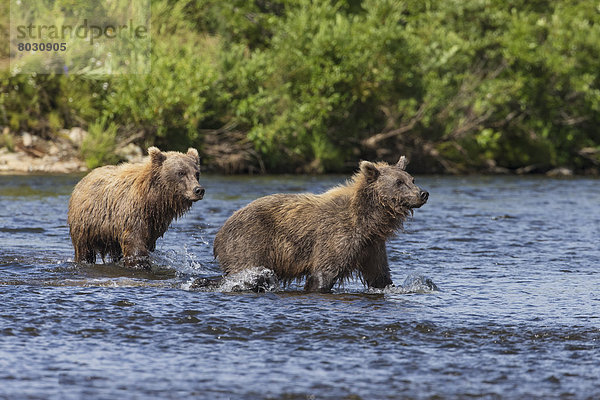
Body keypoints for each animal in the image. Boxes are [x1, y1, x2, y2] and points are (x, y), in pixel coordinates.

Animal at [67, 145, 204, 268]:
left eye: (197, 173)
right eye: (181, 172)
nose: (198, 190)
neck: (154, 200)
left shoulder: (154, 224)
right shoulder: (132, 213)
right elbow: (135, 242)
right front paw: (140, 264)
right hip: (86, 224)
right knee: (84, 249)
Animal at [213, 155, 428, 290]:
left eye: (412, 179)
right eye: (399, 182)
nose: (423, 193)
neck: (369, 220)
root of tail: (220, 231)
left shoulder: (371, 246)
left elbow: (380, 275)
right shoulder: (338, 235)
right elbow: (324, 272)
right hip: (250, 242)